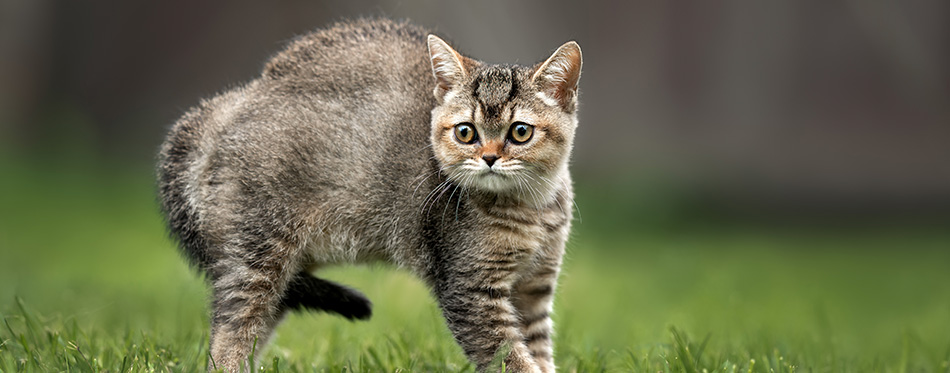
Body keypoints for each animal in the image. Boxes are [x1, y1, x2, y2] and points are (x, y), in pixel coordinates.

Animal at [158, 18, 580, 372]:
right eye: (466, 132)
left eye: (520, 132)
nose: (489, 157)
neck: (531, 210)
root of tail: (230, 102)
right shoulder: (469, 291)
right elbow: (512, 359)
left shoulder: (534, 290)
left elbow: (539, 354)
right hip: (258, 250)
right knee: (230, 332)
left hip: (284, 274)